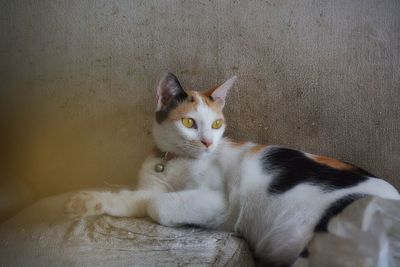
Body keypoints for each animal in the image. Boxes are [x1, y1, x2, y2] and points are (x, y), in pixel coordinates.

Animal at [65, 73, 400, 266]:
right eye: (188, 122)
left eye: (216, 124)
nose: (207, 142)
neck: (173, 160)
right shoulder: (151, 186)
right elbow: (133, 198)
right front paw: (85, 202)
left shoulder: (219, 201)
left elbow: (156, 205)